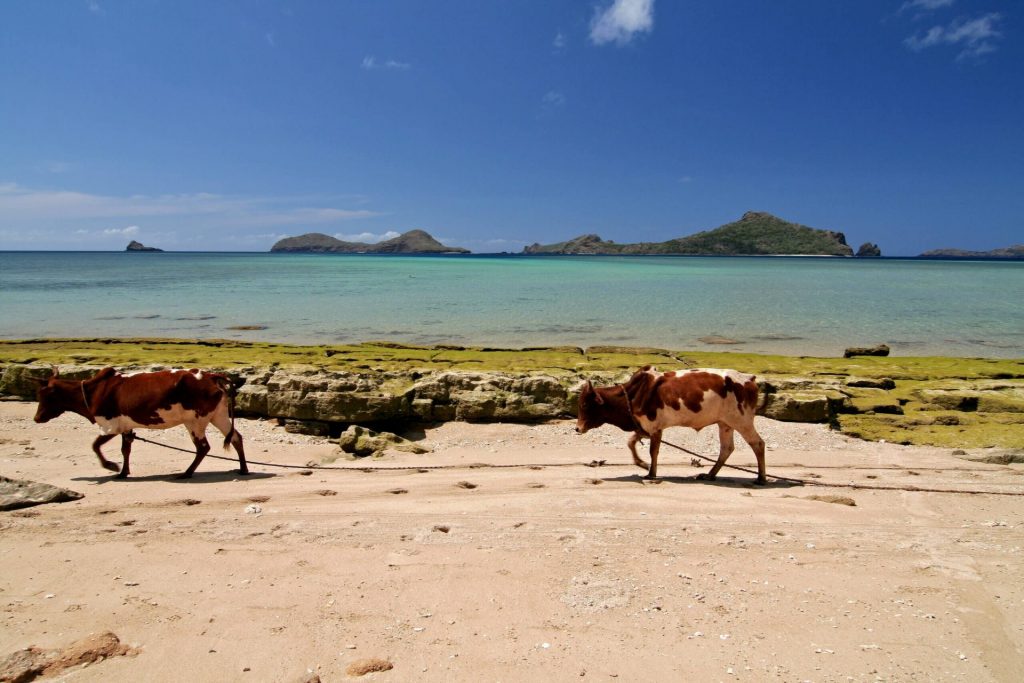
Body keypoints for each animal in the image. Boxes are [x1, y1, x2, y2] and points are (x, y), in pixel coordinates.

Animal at [35, 368, 246, 481]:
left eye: (45, 396)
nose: (36, 418)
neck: (94, 391)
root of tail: (211, 376)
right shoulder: (126, 427)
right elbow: (125, 449)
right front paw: (123, 472)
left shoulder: (111, 425)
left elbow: (95, 445)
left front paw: (111, 466)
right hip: (217, 416)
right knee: (236, 437)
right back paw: (243, 469)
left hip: (195, 421)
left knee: (203, 447)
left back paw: (186, 473)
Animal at [581, 366, 765, 483]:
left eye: (585, 405)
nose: (578, 428)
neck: (633, 394)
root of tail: (749, 379)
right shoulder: (645, 426)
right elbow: (631, 442)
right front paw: (642, 464)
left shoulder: (655, 427)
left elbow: (653, 451)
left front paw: (651, 474)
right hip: (725, 424)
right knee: (727, 448)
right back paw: (710, 475)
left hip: (742, 421)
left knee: (757, 444)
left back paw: (761, 478)